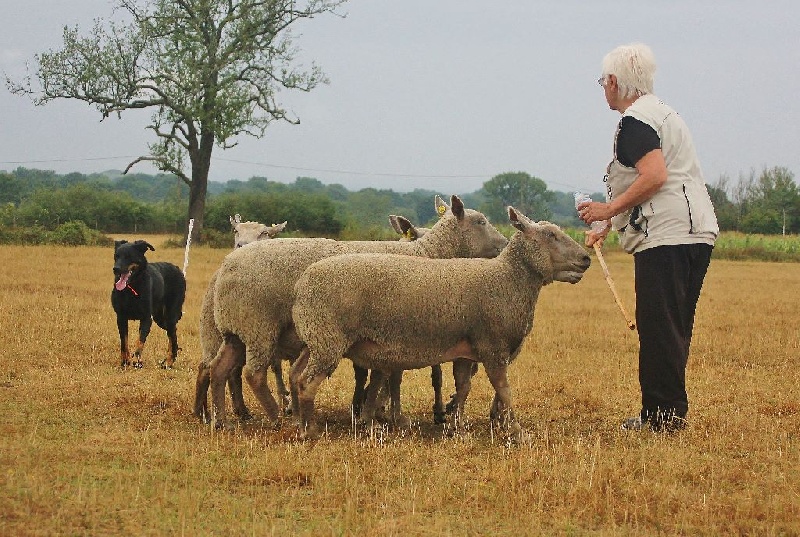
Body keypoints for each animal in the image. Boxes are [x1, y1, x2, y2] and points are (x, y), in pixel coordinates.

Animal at [111, 240, 186, 368]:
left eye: (128, 256)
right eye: (116, 256)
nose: (115, 269)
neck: (132, 287)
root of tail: (178, 270)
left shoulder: (146, 318)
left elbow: (140, 341)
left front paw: (137, 361)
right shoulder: (121, 318)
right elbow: (124, 343)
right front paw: (125, 362)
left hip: (170, 316)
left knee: (173, 335)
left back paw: (169, 362)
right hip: (160, 319)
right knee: (172, 336)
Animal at [198, 194, 506, 428]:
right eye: (481, 221)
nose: (504, 244)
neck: (430, 255)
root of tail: (228, 264)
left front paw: (378, 413)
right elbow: (392, 377)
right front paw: (389, 417)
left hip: (235, 330)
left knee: (218, 369)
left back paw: (221, 420)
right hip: (258, 327)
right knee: (253, 374)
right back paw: (276, 417)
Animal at [288, 206, 588, 440]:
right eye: (550, 235)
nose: (586, 258)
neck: (507, 278)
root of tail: (302, 285)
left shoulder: (467, 349)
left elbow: (464, 387)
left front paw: (457, 426)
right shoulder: (493, 346)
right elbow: (504, 391)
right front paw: (516, 431)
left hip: (314, 338)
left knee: (295, 374)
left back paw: (301, 424)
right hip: (328, 339)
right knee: (307, 382)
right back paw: (311, 431)